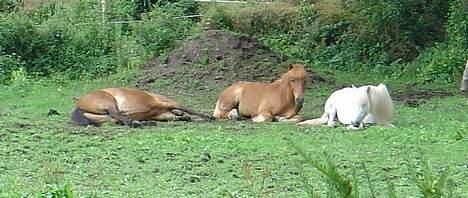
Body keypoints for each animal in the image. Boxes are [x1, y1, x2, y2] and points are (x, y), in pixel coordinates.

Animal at [72, 88, 214, 127]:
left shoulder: (162, 114)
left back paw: (146, 123)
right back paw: (138, 123)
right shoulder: (166, 104)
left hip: (106, 116)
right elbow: (188, 109)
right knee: (119, 115)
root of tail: (79, 104)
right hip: (109, 102)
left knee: (118, 119)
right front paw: (208, 117)